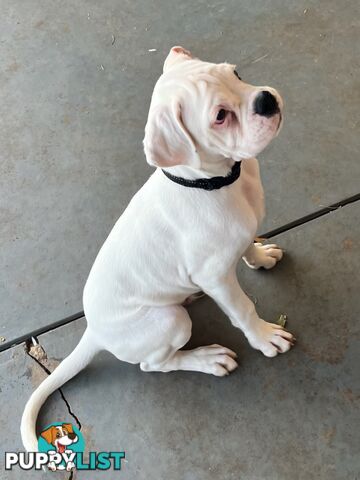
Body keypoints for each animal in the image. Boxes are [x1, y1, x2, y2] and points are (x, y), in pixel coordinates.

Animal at [21, 47, 294, 452]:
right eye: (220, 116)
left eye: (237, 74)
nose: (265, 100)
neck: (214, 183)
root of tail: (94, 332)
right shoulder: (216, 277)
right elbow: (243, 308)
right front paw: (264, 337)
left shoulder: (240, 235)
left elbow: (248, 244)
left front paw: (261, 256)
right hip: (170, 321)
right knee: (155, 364)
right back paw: (207, 359)